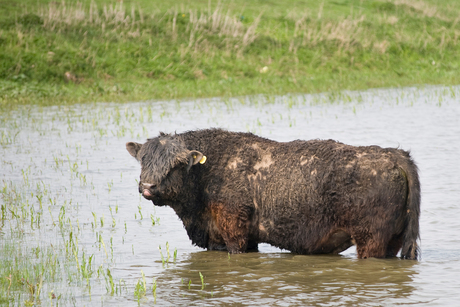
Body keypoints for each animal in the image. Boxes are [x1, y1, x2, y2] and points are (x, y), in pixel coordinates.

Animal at [126, 128, 420, 260]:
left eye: (176, 164)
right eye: (143, 159)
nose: (148, 186)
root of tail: (393, 154)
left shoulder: (235, 234)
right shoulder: (221, 237)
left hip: (371, 240)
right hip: (393, 239)